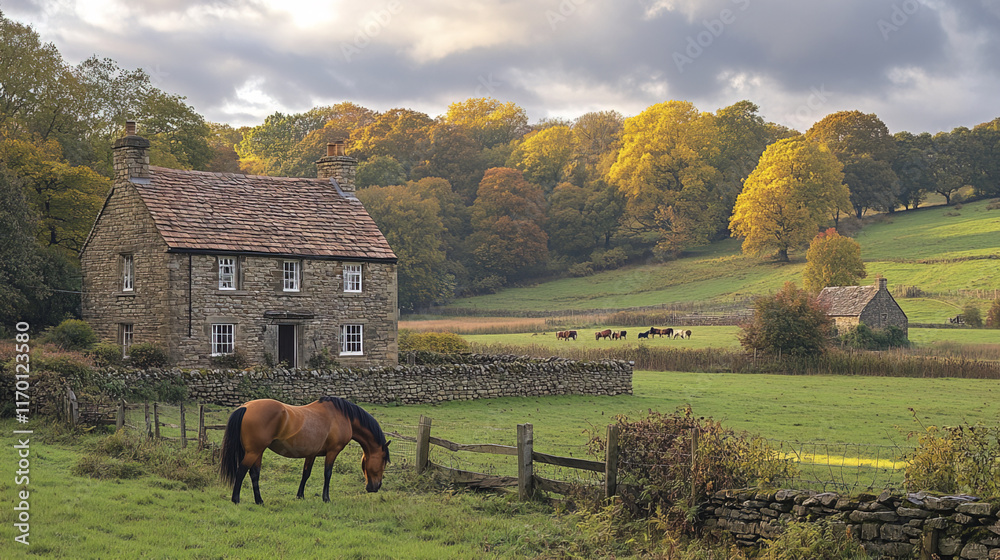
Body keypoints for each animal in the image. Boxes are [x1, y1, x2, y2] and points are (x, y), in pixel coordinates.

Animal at [219, 396, 391, 505]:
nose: (376, 487)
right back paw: (236, 499)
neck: (342, 417)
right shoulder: (333, 452)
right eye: (383, 462)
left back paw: (259, 501)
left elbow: (306, 474)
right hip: (254, 452)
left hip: (257, 452)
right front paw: (326, 498)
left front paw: (300, 496)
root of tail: (245, 407)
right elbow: (328, 474)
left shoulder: (311, 454)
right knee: (242, 470)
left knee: (254, 473)